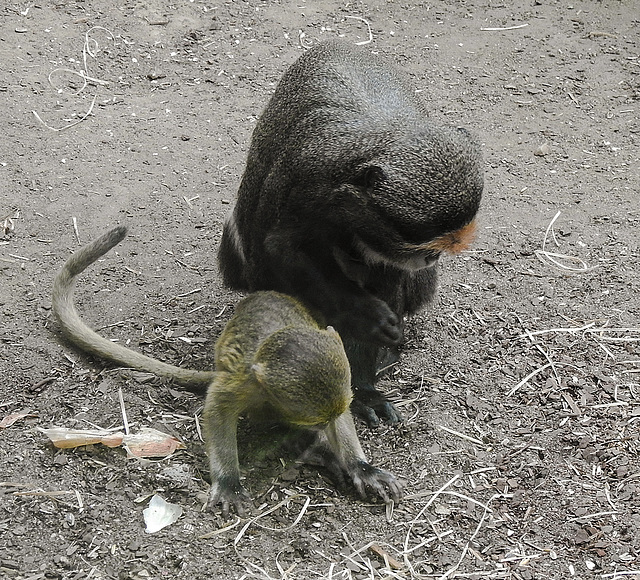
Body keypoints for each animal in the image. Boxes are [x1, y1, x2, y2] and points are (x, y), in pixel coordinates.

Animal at [52, 227, 400, 516]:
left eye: (330, 418)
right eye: (315, 419)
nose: (320, 428)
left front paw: (360, 467)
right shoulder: (242, 383)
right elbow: (218, 410)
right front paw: (229, 482)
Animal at [218, 37, 482, 426]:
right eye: (421, 241)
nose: (432, 257)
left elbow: (387, 275)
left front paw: (365, 387)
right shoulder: (310, 181)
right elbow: (283, 247)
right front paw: (364, 315)